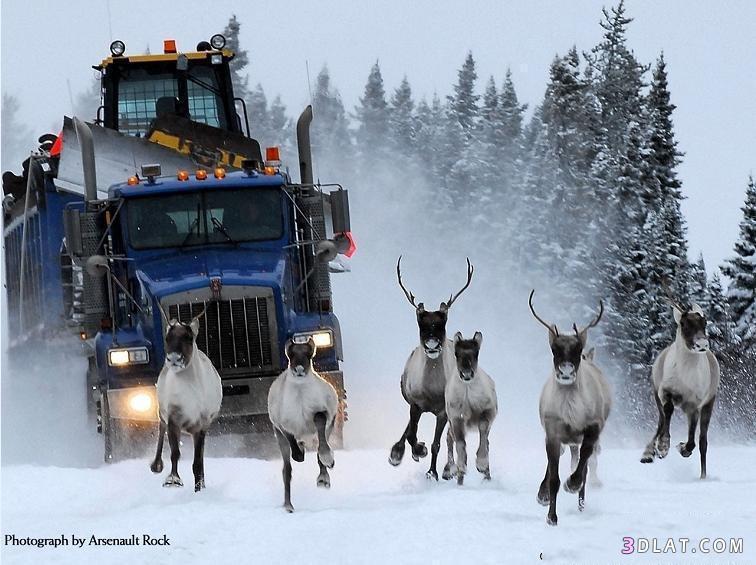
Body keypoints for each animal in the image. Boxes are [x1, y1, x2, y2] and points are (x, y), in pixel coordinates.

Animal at [442, 330, 496, 484]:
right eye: (456, 353)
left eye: (476, 353)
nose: (466, 374)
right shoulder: (456, 418)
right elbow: (460, 443)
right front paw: (461, 467)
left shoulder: (488, 411)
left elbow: (483, 430)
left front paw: (481, 464)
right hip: (452, 421)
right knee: (449, 438)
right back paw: (451, 471)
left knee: (487, 441)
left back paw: (487, 476)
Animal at [528, 290, 612, 524]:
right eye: (554, 349)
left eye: (578, 348)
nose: (566, 372)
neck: (571, 410)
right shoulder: (553, 431)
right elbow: (554, 478)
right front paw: (551, 515)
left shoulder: (592, 429)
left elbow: (581, 468)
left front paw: (571, 485)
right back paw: (543, 495)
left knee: (583, 467)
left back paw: (581, 503)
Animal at [640, 288, 716, 478]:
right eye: (683, 323)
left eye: (704, 322)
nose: (702, 344)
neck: (685, 376)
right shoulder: (665, 392)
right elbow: (667, 413)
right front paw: (663, 446)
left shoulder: (695, 403)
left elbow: (693, 441)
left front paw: (682, 448)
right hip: (658, 397)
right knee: (661, 421)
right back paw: (648, 453)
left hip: (709, 404)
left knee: (703, 441)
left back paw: (703, 476)